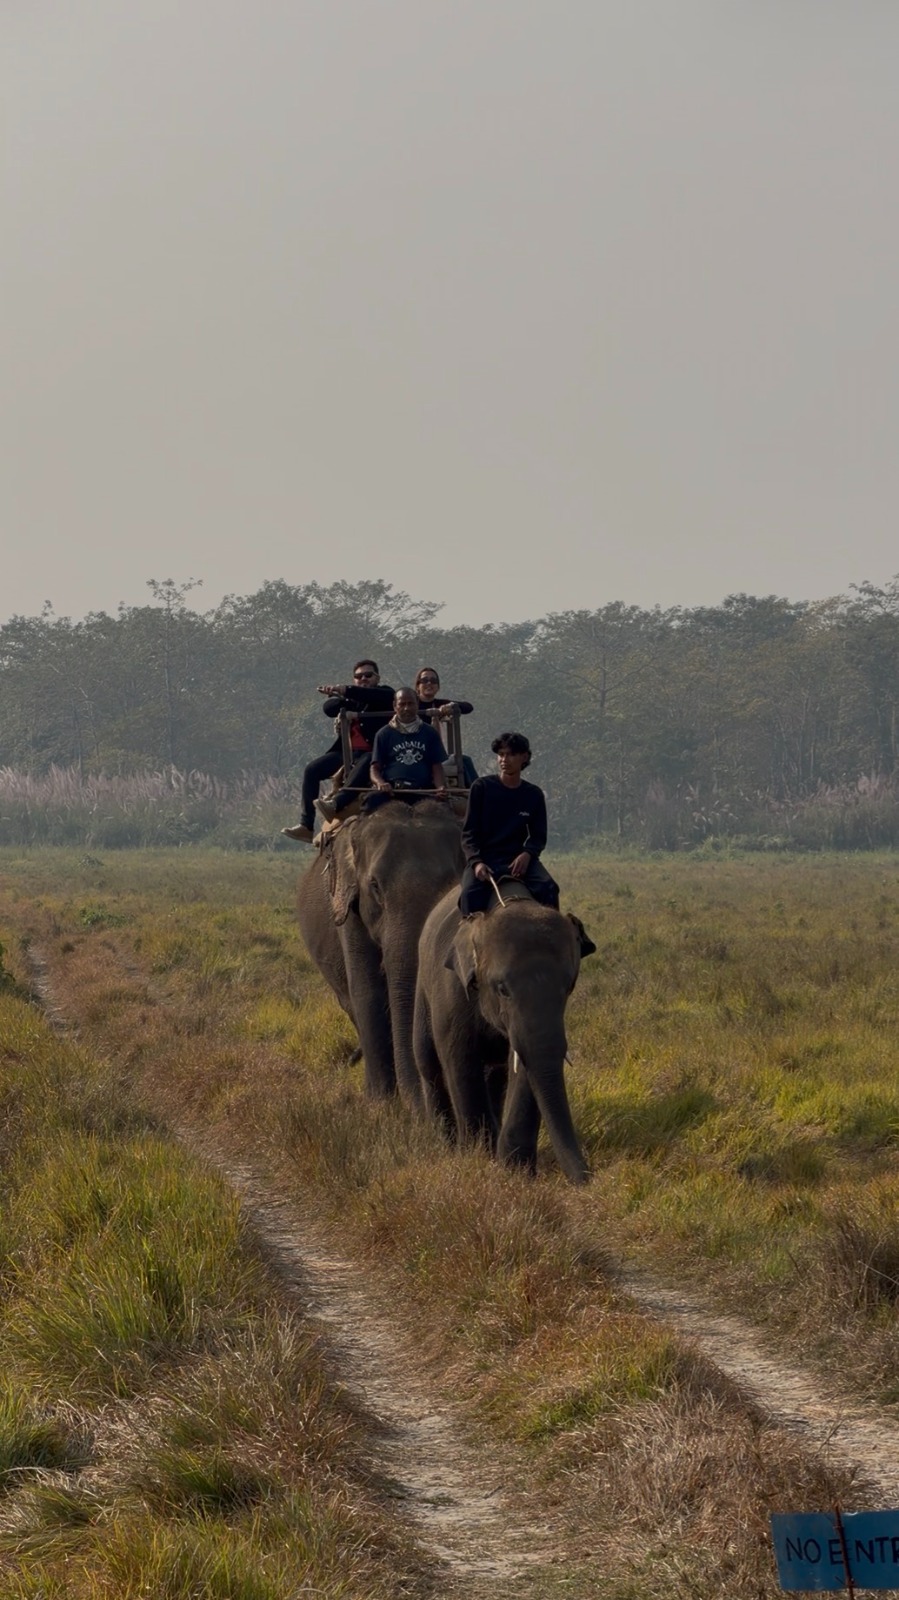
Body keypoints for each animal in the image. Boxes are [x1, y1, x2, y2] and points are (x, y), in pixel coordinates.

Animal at [296, 799, 465, 1107]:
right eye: (375, 886)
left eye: (450, 882)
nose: (419, 1104)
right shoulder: (349, 906)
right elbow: (368, 990)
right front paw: (380, 1105)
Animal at [413, 885, 596, 1184]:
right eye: (502, 989)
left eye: (568, 987)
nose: (588, 1179)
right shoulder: (452, 993)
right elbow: (460, 1062)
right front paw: (477, 1158)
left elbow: (523, 1063)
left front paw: (513, 1168)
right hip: (423, 987)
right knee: (429, 1064)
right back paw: (447, 1144)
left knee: (496, 1076)